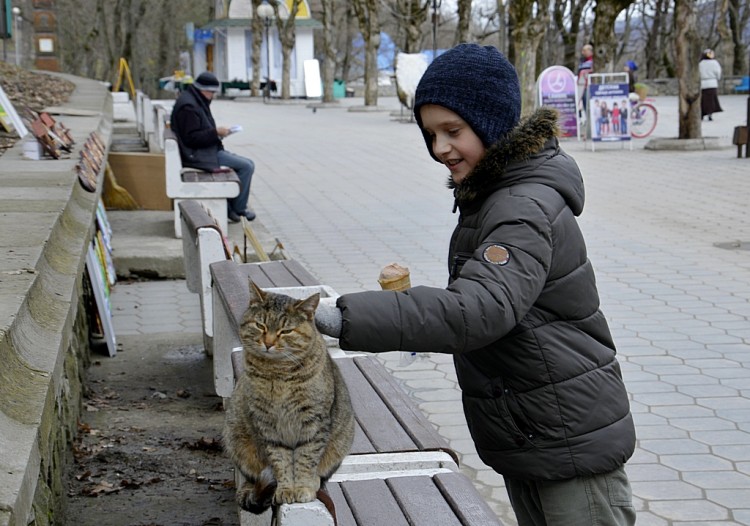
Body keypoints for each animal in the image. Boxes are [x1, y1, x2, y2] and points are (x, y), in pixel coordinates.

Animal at [223, 280, 356, 516]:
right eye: (261, 325)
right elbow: (281, 461)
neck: (278, 374)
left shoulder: (314, 422)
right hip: (235, 437)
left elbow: (306, 458)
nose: (268, 343)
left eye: (285, 331)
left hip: (341, 442)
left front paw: (302, 487)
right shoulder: (267, 425)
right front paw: (285, 488)